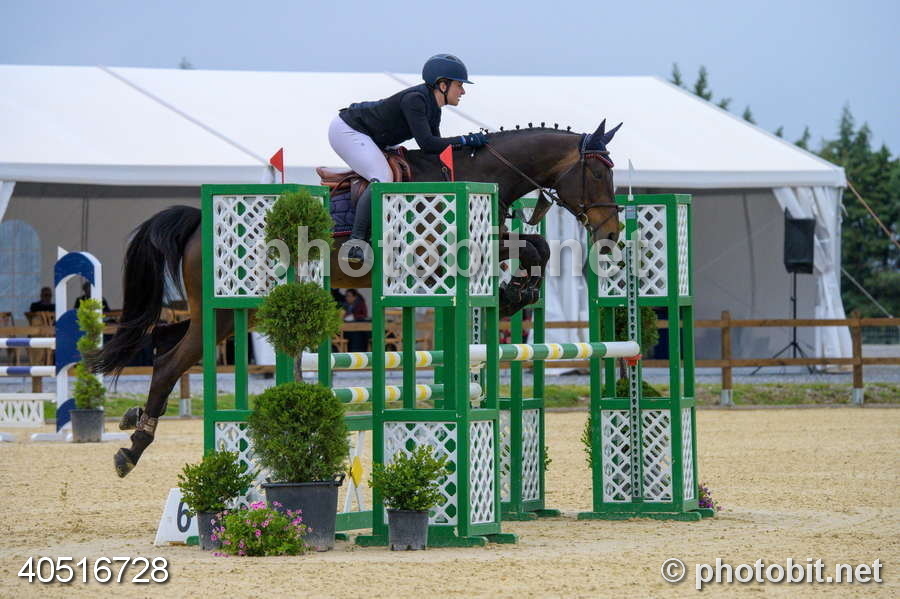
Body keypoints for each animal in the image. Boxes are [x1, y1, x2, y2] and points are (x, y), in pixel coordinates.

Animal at [93, 120, 623, 477]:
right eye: (598, 175)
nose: (612, 232)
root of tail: (199, 221)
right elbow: (526, 247)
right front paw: (512, 293)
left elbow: (537, 247)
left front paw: (518, 292)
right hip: (225, 309)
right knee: (168, 362)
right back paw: (132, 448)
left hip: (230, 314)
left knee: (168, 349)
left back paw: (133, 426)